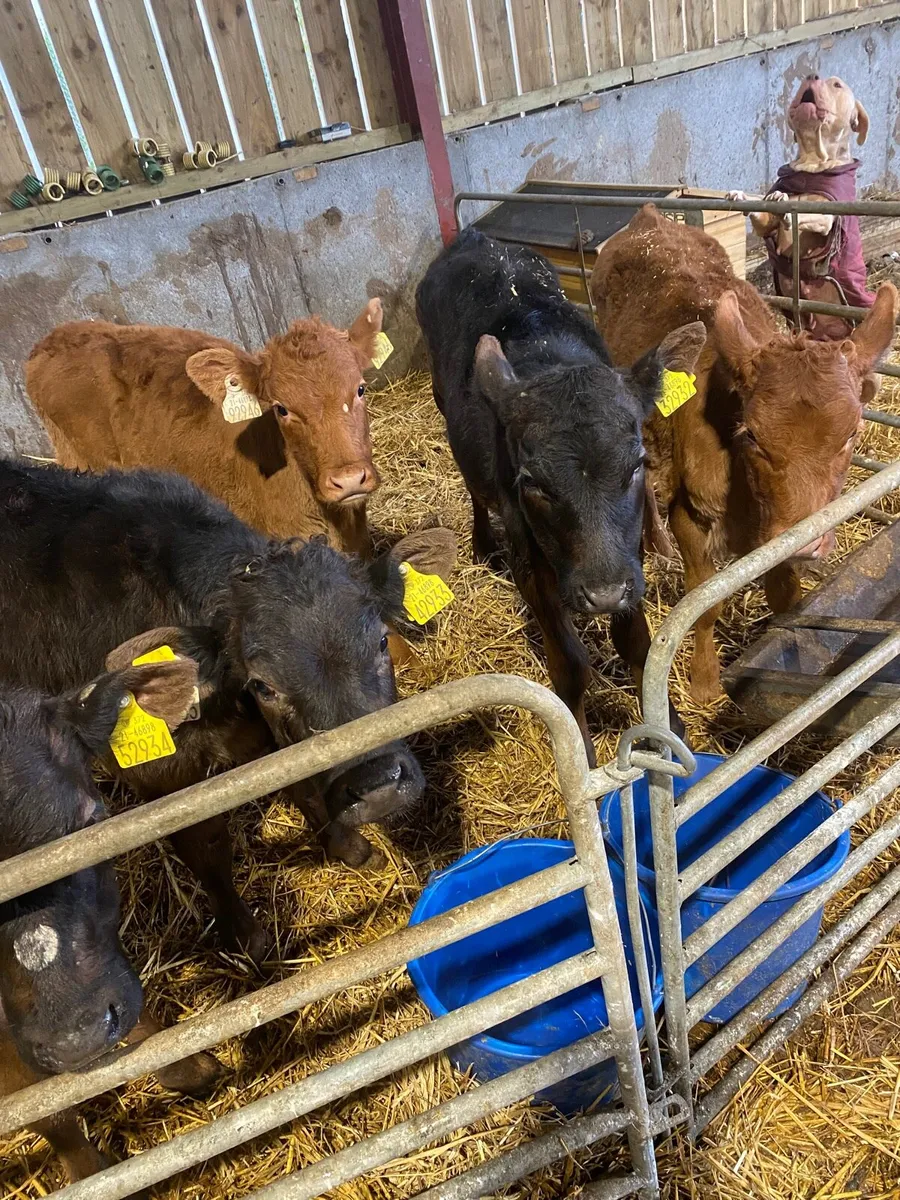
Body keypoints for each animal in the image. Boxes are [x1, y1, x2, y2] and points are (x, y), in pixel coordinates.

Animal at [0, 460, 435, 964]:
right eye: (264, 685)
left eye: (382, 641)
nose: (378, 786)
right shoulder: (163, 775)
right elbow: (207, 847)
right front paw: (245, 937)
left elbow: (304, 785)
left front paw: (347, 847)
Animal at [416, 228, 706, 764]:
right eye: (533, 483)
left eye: (636, 464)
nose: (602, 594)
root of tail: (475, 236)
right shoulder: (530, 559)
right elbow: (570, 666)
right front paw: (583, 757)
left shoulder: (624, 557)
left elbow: (637, 643)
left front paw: (668, 724)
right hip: (445, 404)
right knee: (472, 486)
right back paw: (482, 543)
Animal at [591, 204, 899, 703]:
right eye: (750, 435)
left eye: (852, 433)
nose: (810, 543)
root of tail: (651, 216)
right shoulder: (690, 513)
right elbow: (703, 604)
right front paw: (704, 682)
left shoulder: (782, 540)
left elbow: (787, 600)